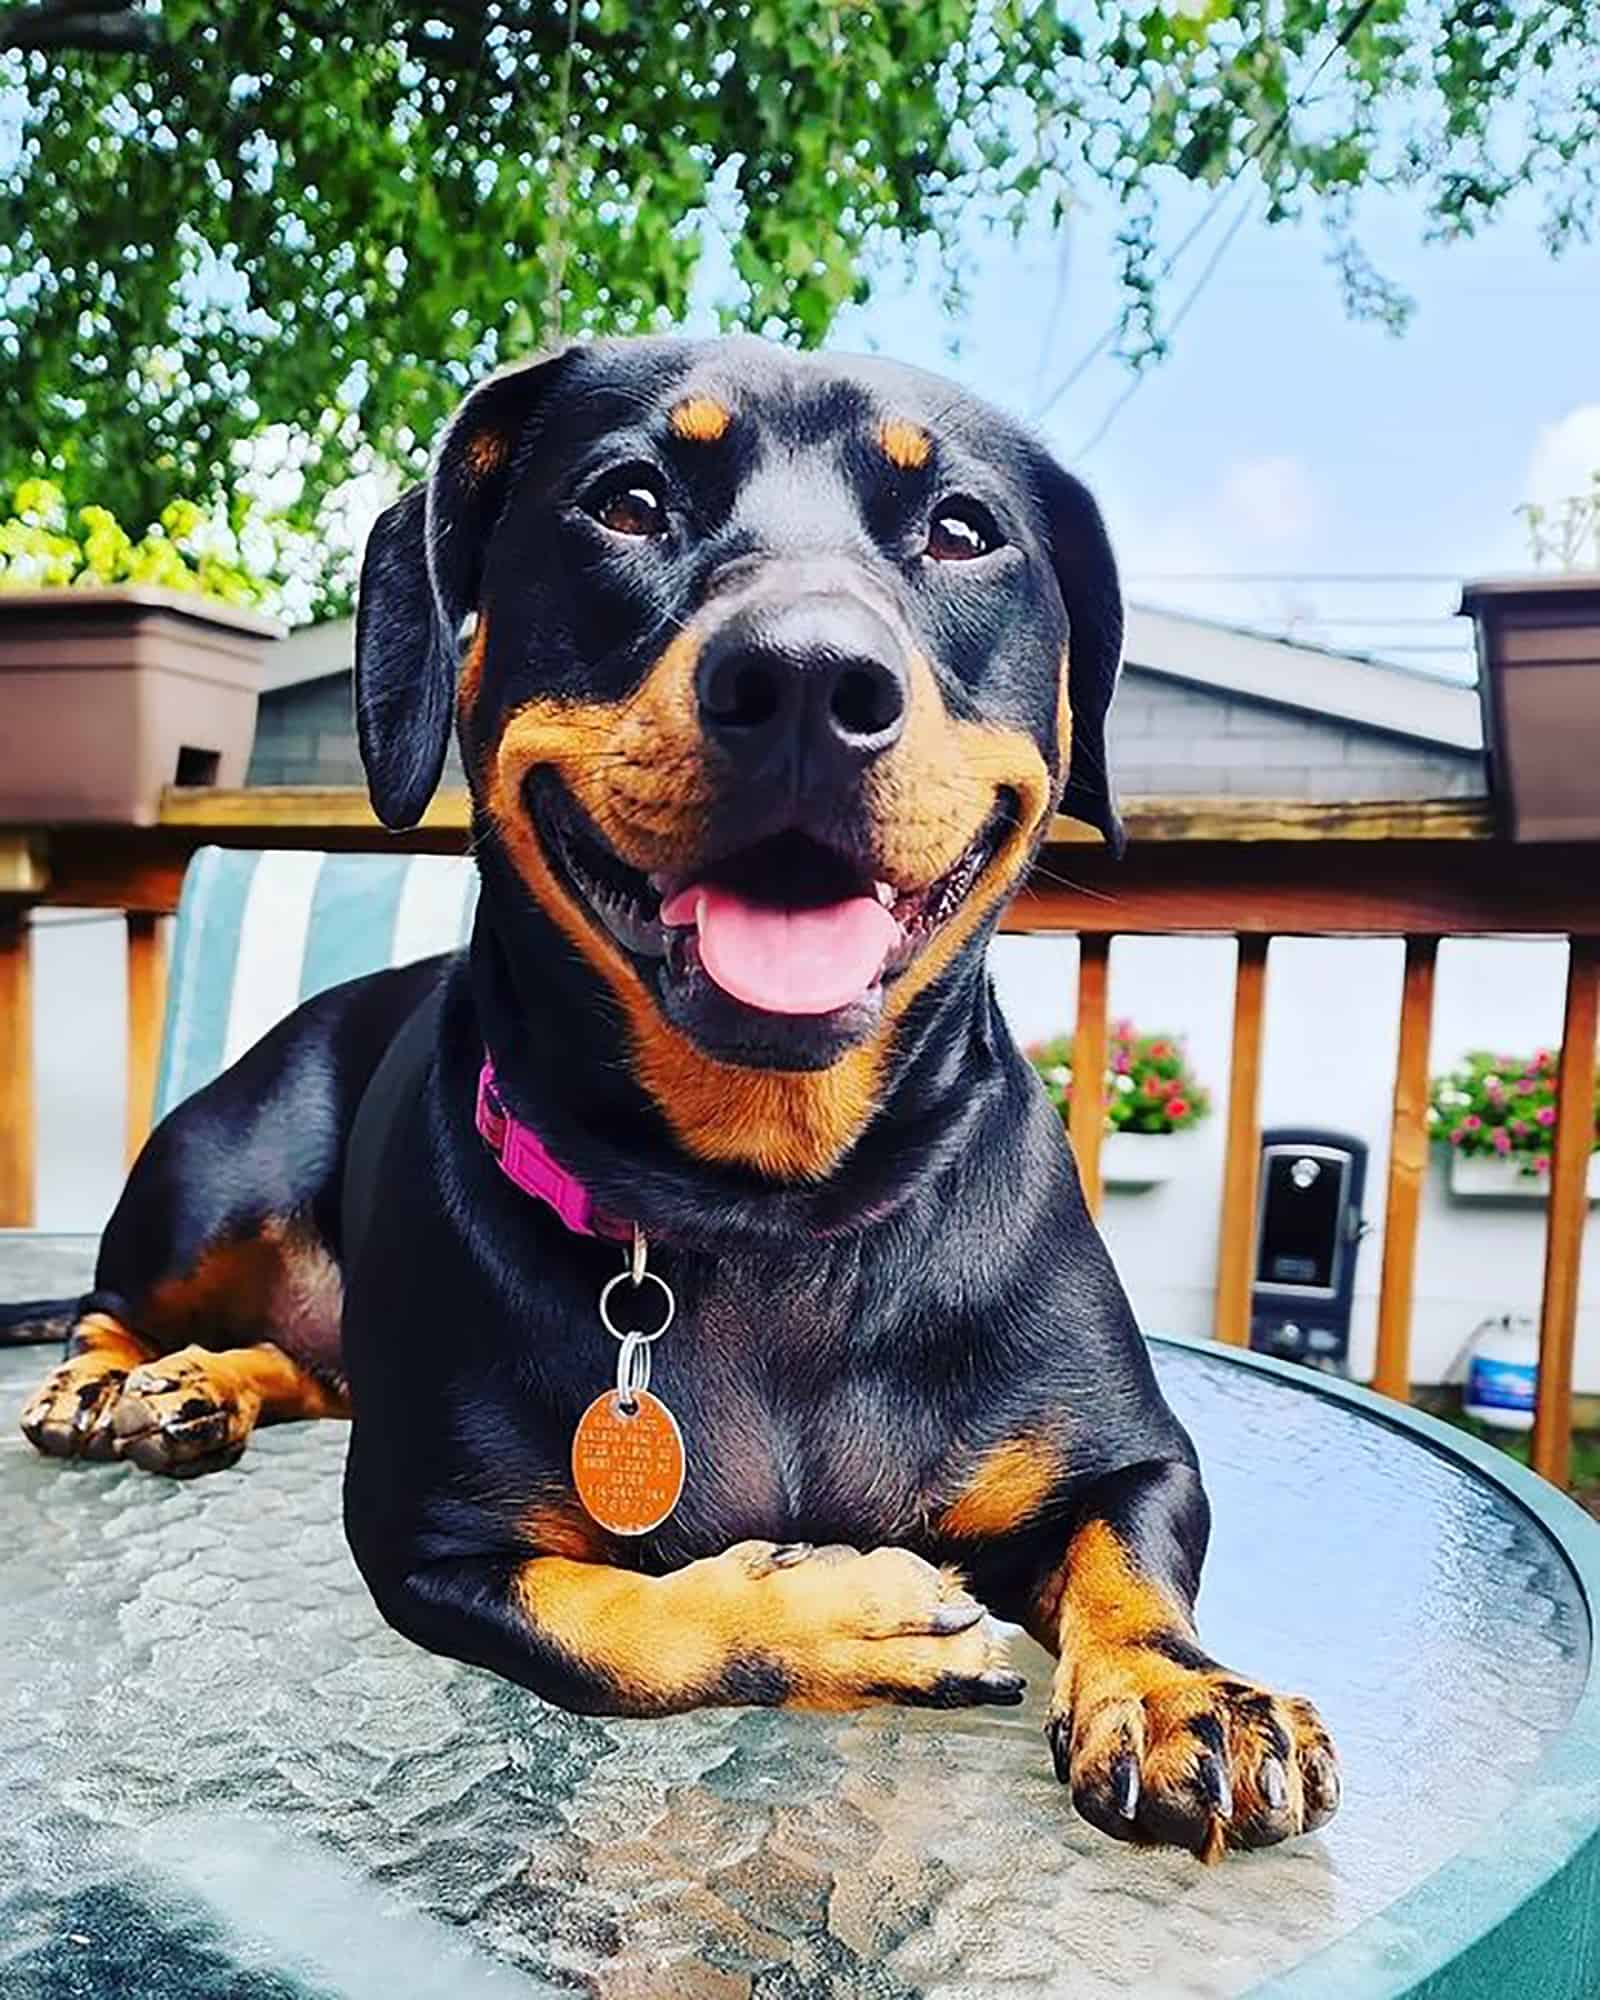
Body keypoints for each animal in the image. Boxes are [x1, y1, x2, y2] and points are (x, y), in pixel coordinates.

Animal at [15, 340, 1336, 1856]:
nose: (811, 677)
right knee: (123, 1300)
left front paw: (1181, 1694)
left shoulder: (1132, 1455)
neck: (762, 1208)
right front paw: (846, 1617)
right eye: (628, 500)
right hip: (217, 1180)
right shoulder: (426, 1541)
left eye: (962, 529)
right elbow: (613, 1623)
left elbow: (1131, 1548)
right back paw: (110, 1380)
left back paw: (199, 1389)